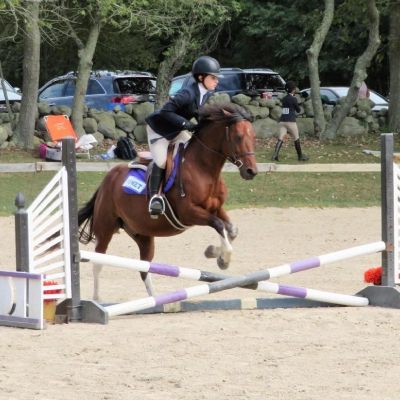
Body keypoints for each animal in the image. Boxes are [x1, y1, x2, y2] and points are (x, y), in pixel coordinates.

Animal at [78, 103, 258, 300]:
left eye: (253, 136)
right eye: (238, 136)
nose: (251, 171)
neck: (203, 169)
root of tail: (107, 179)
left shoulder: (216, 208)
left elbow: (231, 230)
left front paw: (214, 253)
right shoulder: (189, 213)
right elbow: (218, 224)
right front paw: (223, 259)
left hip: (143, 234)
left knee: (144, 268)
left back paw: (156, 301)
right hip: (105, 228)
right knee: (98, 262)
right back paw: (97, 299)